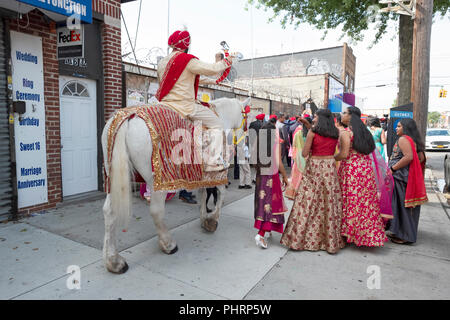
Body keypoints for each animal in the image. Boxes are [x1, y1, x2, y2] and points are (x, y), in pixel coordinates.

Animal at [101, 97, 250, 272]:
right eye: (246, 119)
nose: (244, 143)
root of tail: (129, 116)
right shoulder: (218, 174)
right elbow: (220, 193)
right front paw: (212, 220)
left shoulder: (200, 176)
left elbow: (203, 194)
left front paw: (204, 218)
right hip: (157, 182)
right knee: (156, 211)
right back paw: (168, 244)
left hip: (114, 179)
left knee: (109, 212)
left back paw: (113, 260)